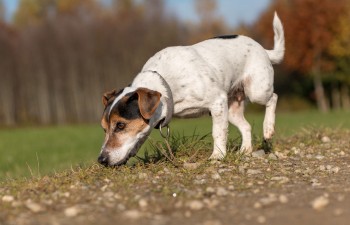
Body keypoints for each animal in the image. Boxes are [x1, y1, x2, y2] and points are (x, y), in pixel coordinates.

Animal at [98, 12, 284, 167]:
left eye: (120, 125)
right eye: (103, 128)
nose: (101, 160)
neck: (167, 85)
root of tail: (263, 49)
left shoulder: (217, 102)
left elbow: (218, 132)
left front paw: (218, 155)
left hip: (256, 91)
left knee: (273, 97)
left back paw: (268, 128)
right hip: (231, 109)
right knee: (246, 126)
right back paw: (245, 150)